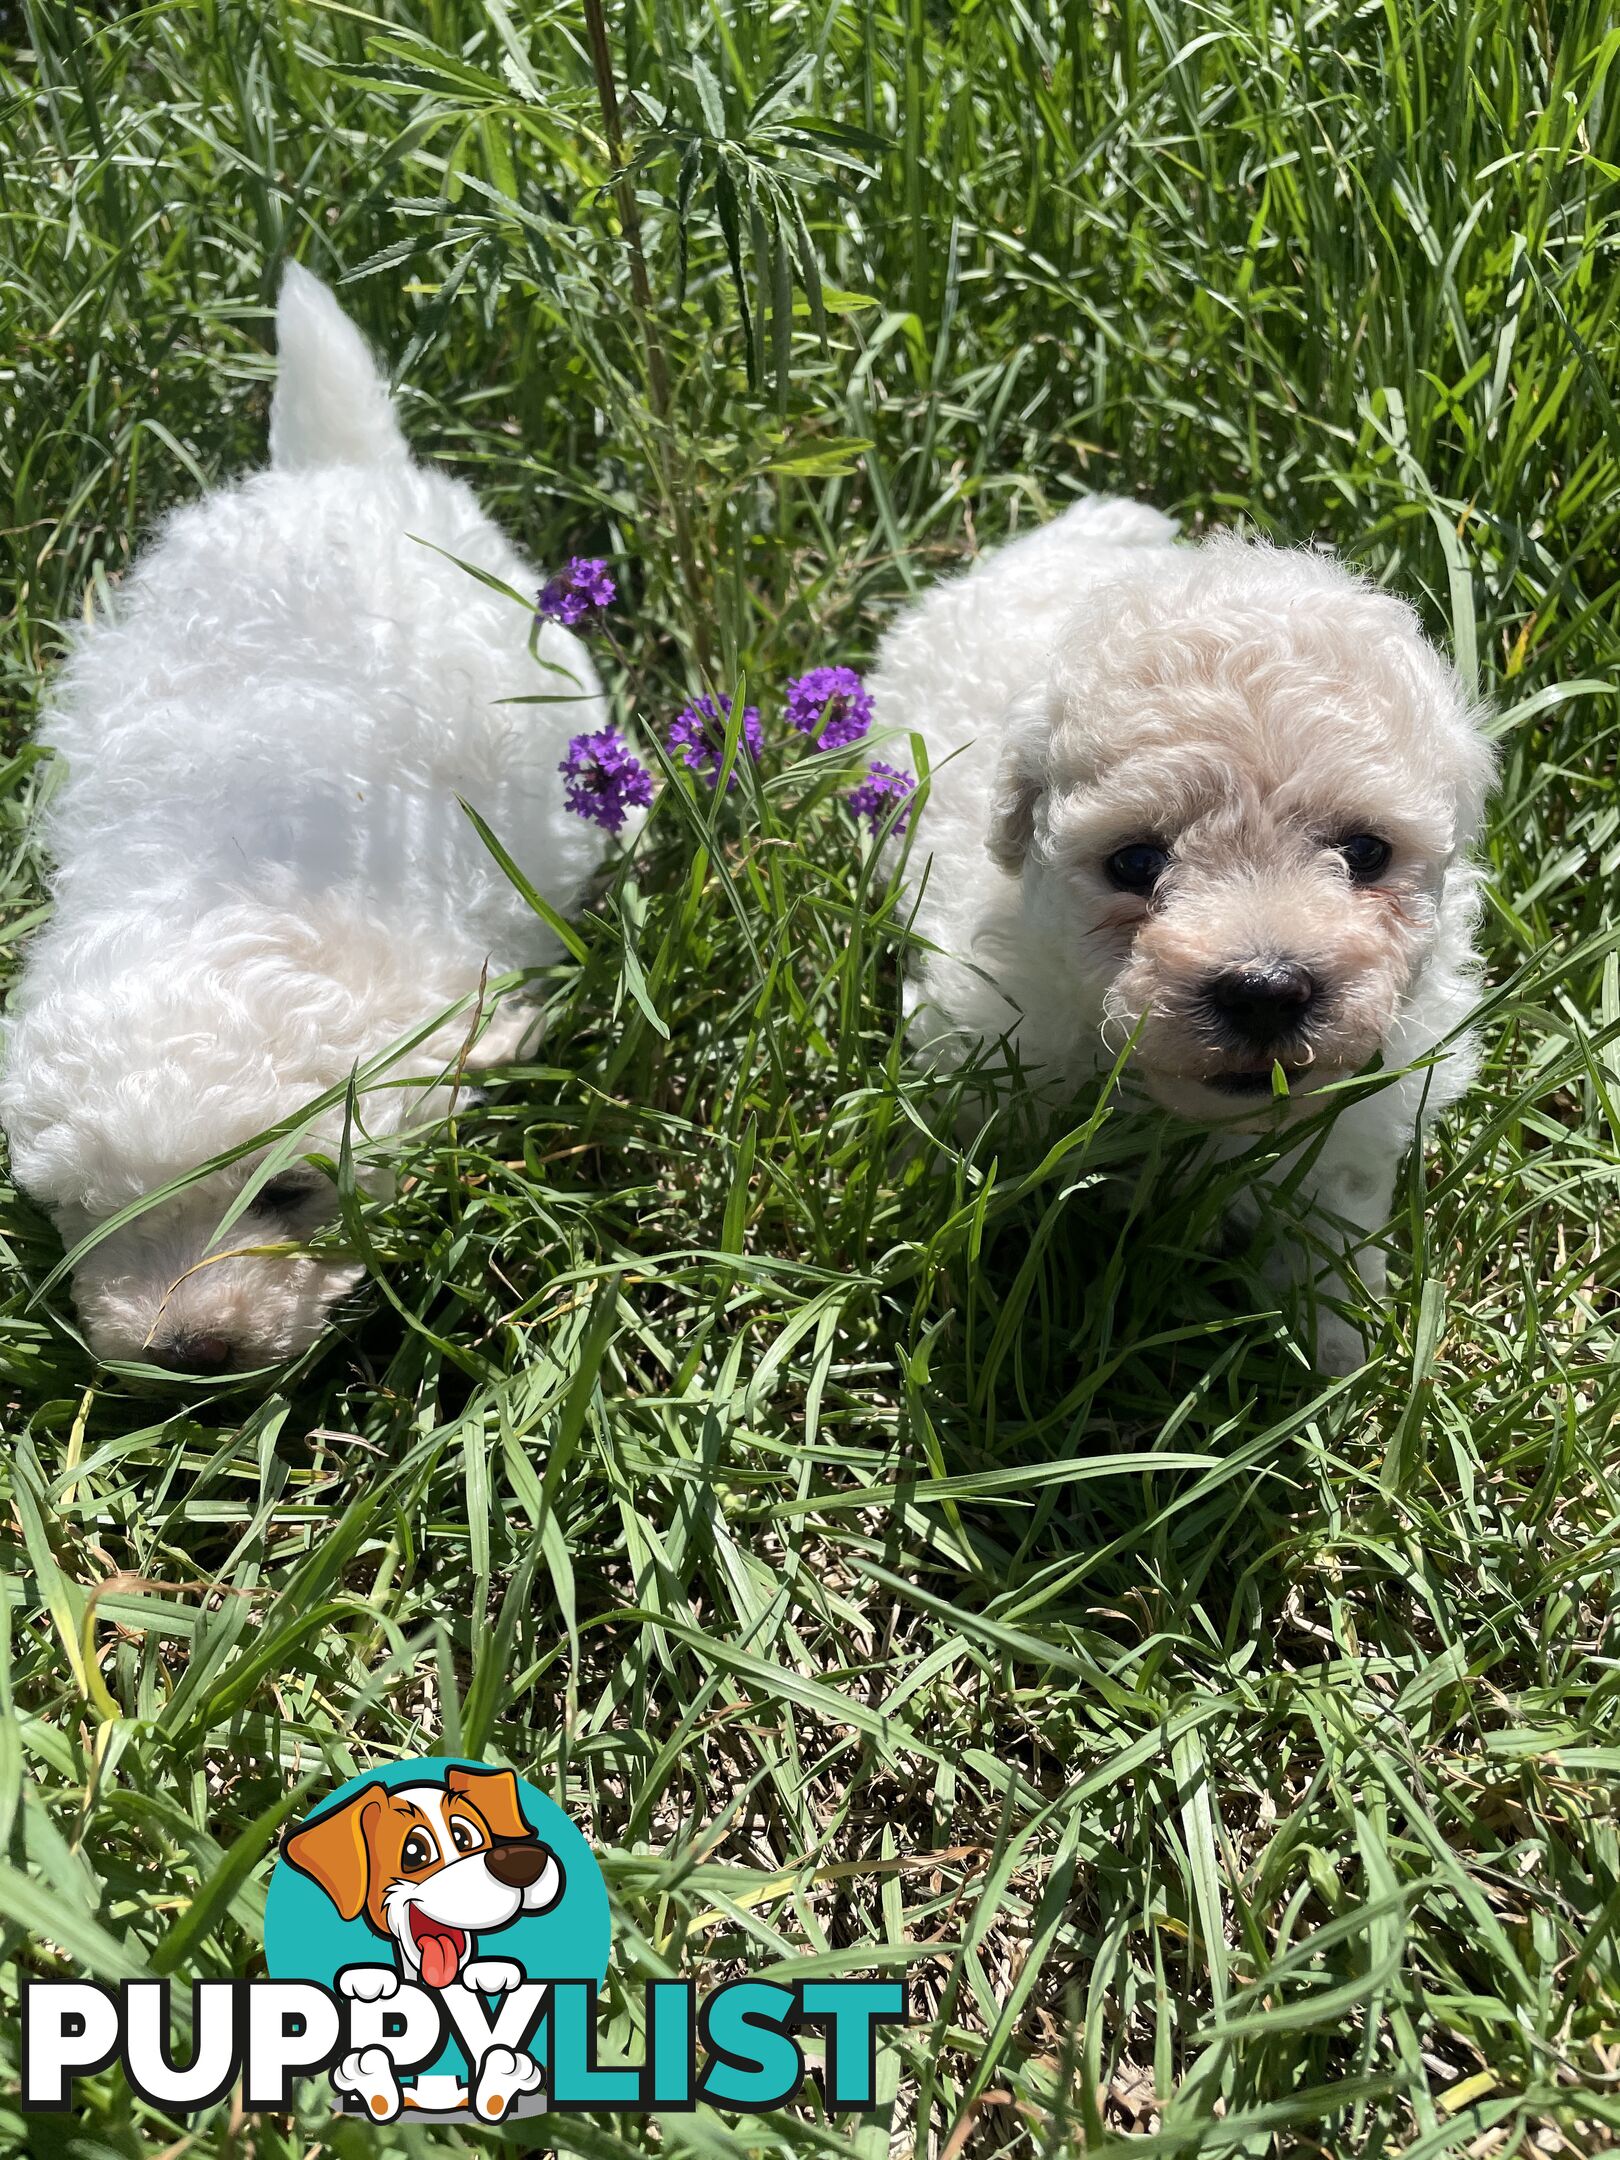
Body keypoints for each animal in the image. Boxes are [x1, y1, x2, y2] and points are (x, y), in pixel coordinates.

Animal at [881, 496, 1503, 1365]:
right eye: (1137, 861)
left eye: (1366, 852)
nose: (1266, 991)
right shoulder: (990, 1035)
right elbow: (956, 1149)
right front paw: (928, 1257)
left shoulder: (1353, 1123)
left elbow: (1330, 1230)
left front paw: (1341, 1351)